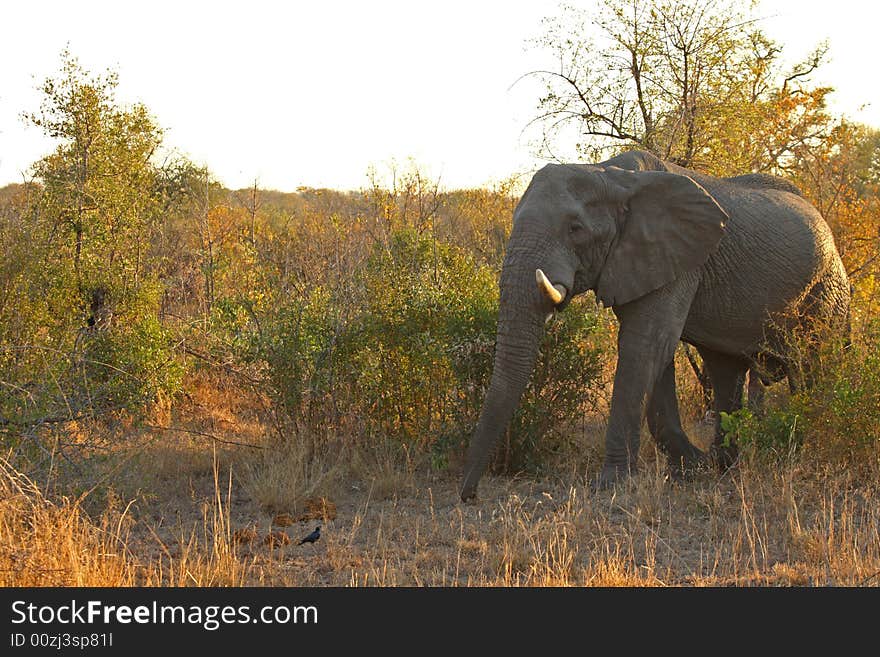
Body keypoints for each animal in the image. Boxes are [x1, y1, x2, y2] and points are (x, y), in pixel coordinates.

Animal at [460, 149, 852, 500]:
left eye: (575, 229)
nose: (470, 495)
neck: (610, 174)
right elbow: (653, 351)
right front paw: (687, 471)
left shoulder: (677, 256)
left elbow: (645, 344)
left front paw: (611, 485)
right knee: (725, 370)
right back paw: (723, 466)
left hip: (828, 291)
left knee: (811, 368)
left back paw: (797, 449)